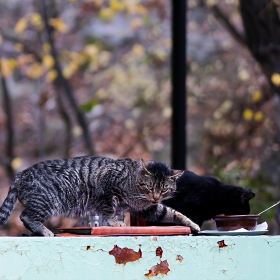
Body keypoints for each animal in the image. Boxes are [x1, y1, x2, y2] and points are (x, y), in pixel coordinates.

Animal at [0, 156, 201, 235]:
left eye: (164, 189)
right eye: (150, 186)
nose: (156, 197)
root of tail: (21, 174)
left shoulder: (148, 209)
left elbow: (171, 213)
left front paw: (192, 224)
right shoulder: (107, 188)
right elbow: (109, 210)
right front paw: (114, 222)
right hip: (46, 202)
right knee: (25, 216)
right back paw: (44, 231)